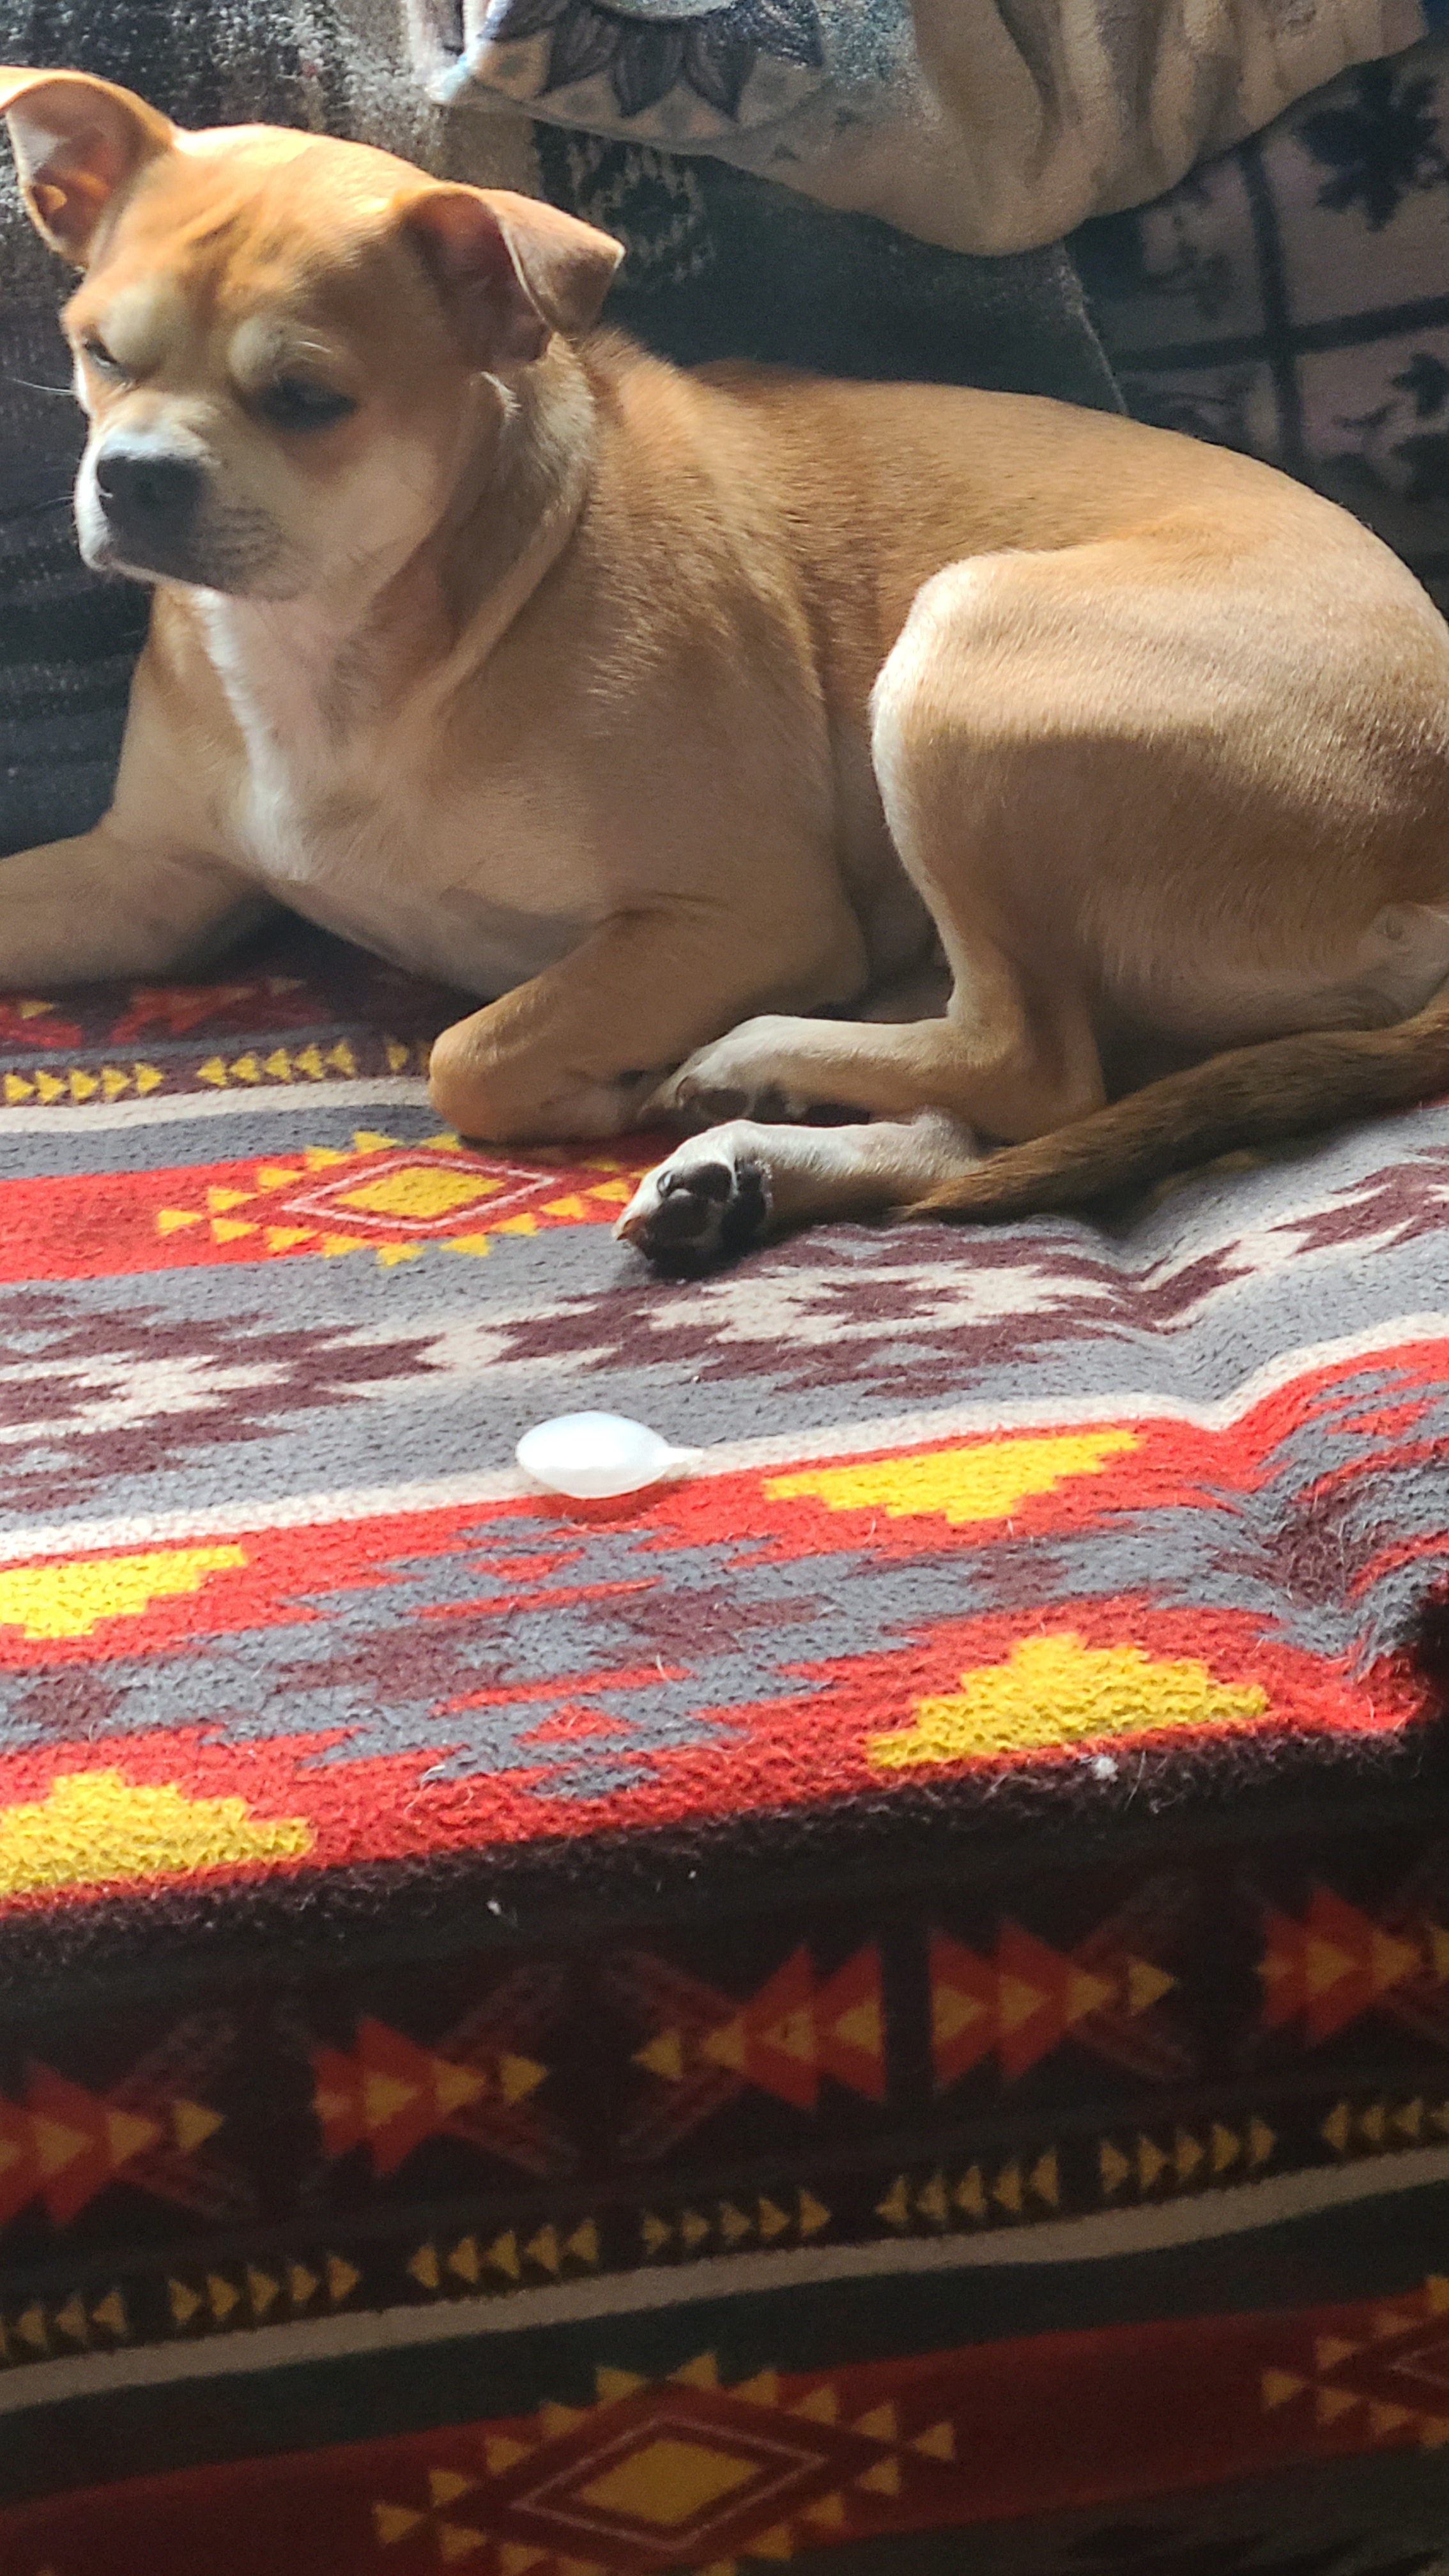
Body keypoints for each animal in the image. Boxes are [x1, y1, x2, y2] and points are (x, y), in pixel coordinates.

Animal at [3, 60, 1443, 1267]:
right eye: (98, 354)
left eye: (309, 401)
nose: (133, 477)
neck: (346, 633)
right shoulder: (150, 883)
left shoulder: (739, 918)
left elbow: (474, 1052)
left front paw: (598, 1085)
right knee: (998, 1113)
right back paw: (742, 1167)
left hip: (958, 657)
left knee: (1029, 1063)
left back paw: (748, 1064)